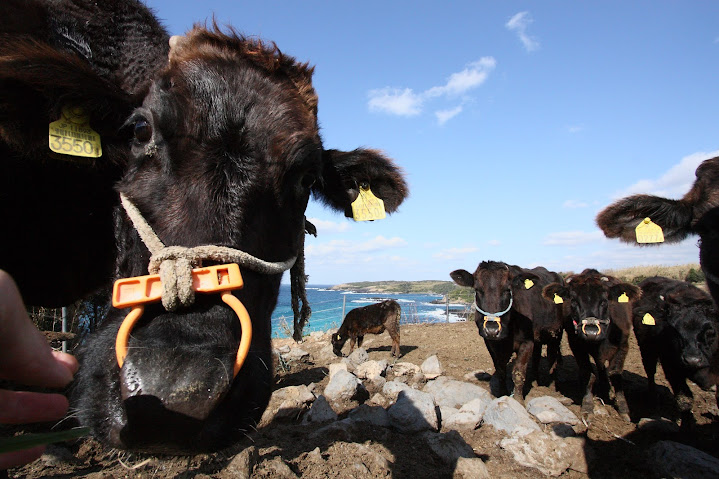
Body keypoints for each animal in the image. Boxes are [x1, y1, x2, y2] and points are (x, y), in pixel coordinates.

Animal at [632, 276, 716, 426]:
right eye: (674, 330)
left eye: (709, 330)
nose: (691, 360)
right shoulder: (671, 368)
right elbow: (685, 400)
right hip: (647, 350)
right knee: (650, 371)